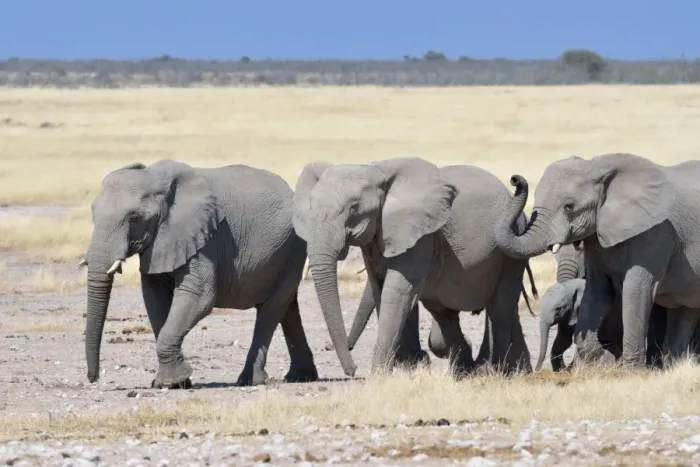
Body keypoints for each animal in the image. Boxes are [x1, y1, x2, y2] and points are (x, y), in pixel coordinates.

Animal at [80, 160, 318, 388]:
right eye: (93, 214)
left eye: (134, 218)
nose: (93, 379)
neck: (157, 178)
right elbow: (155, 301)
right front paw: (177, 383)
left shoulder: (205, 238)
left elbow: (199, 297)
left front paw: (171, 382)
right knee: (287, 307)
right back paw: (300, 377)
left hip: (293, 248)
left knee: (271, 309)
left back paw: (249, 381)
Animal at [292, 157, 536, 377]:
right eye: (311, 206)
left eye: (354, 208)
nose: (352, 371)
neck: (376, 169)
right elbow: (381, 288)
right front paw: (406, 368)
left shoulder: (421, 236)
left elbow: (398, 290)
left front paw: (380, 375)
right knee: (445, 313)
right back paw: (468, 371)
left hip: (511, 250)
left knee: (500, 308)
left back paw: (494, 372)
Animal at [494, 152, 700, 368]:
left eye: (569, 207)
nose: (515, 179)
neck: (598, 168)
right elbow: (596, 291)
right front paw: (607, 360)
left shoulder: (657, 232)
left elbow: (637, 289)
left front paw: (631, 370)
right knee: (685, 311)